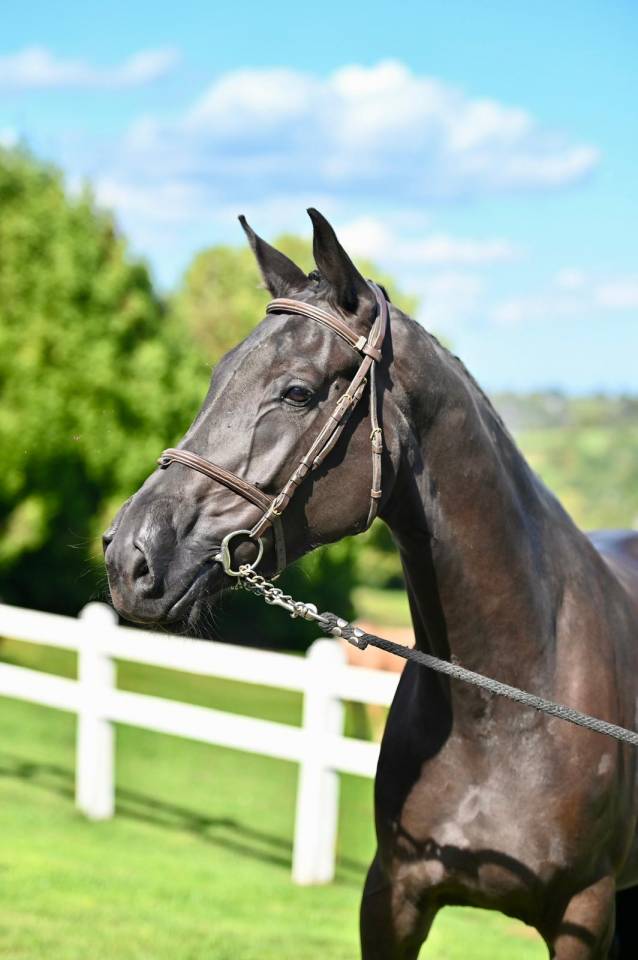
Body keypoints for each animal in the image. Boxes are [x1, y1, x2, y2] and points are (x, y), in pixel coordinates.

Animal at [104, 208, 638, 958]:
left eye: (297, 391)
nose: (131, 555)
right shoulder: (393, 897)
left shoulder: (582, 916)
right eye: (217, 376)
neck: (509, 706)